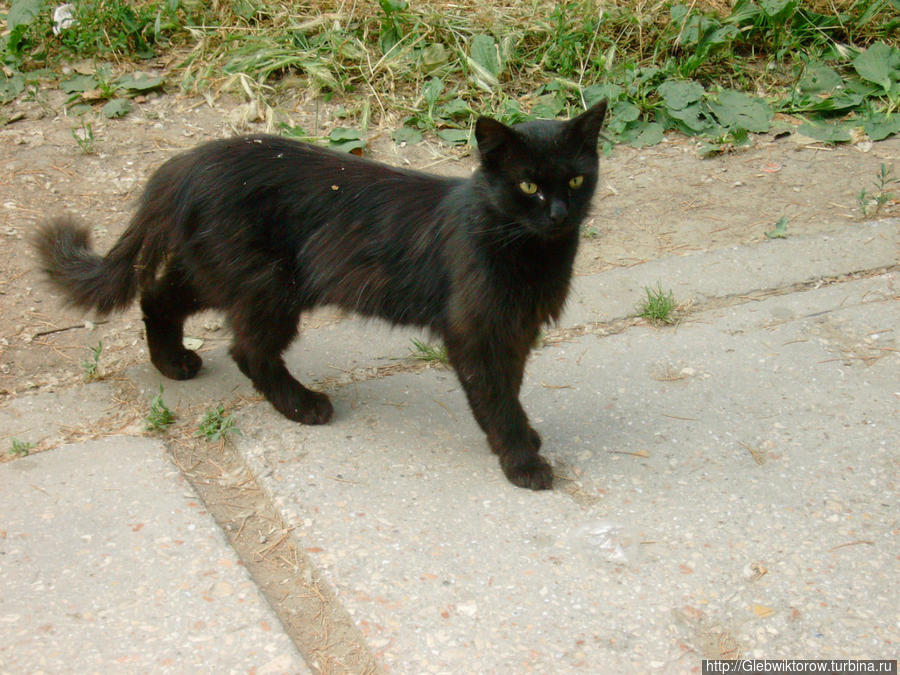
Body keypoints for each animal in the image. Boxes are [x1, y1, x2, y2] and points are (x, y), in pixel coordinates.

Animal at [38, 100, 608, 488]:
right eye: (528, 187)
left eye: (576, 180)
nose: (560, 214)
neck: (531, 253)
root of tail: (185, 164)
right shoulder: (476, 332)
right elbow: (495, 397)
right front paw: (521, 461)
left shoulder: (516, 331)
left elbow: (509, 389)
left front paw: (524, 439)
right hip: (268, 285)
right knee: (247, 349)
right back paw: (301, 404)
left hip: (214, 272)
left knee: (157, 298)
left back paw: (172, 363)